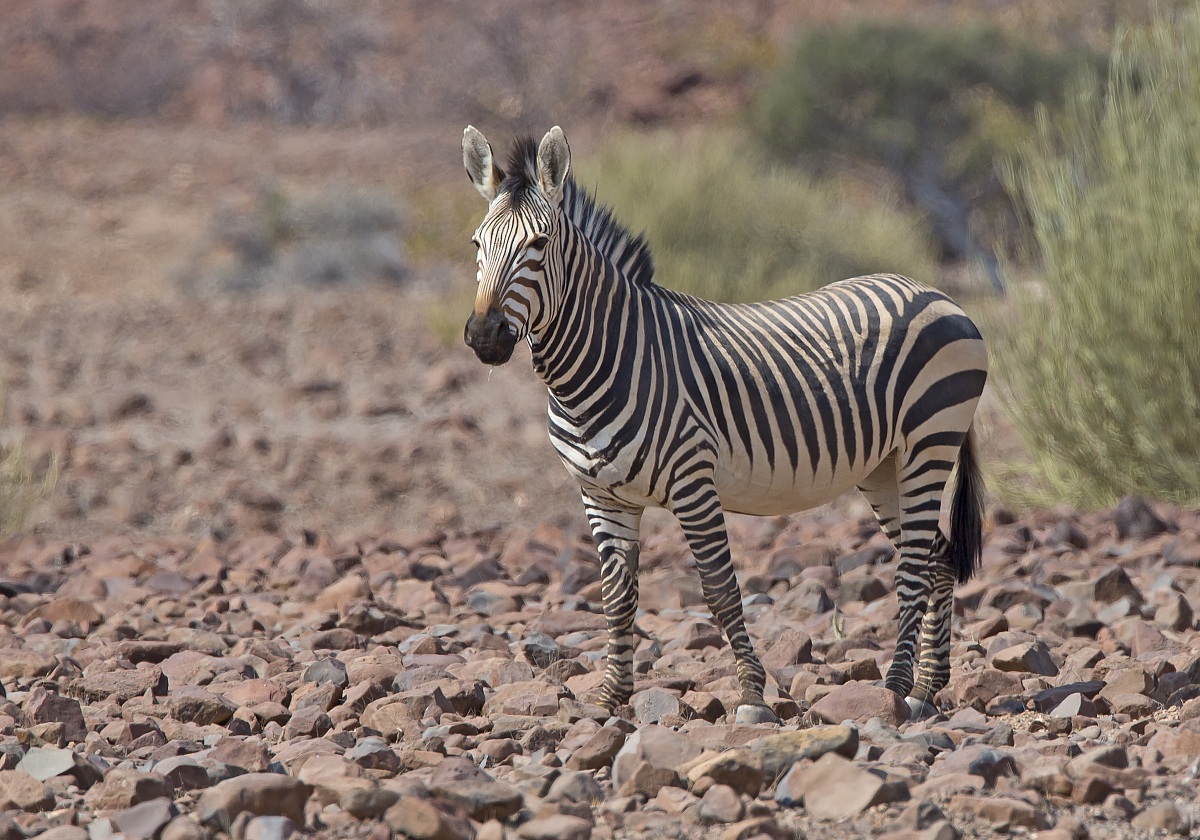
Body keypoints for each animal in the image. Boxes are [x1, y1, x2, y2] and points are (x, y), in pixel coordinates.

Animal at [461, 125, 988, 723]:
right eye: (476, 245)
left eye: (539, 244)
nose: (484, 336)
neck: (595, 371)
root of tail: (934, 291)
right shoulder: (600, 496)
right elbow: (617, 596)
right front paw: (611, 696)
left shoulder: (693, 481)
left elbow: (718, 589)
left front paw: (752, 695)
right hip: (884, 466)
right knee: (937, 559)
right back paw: (926, 687)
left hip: (930, 441)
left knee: (915, 566)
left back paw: (897, 687)